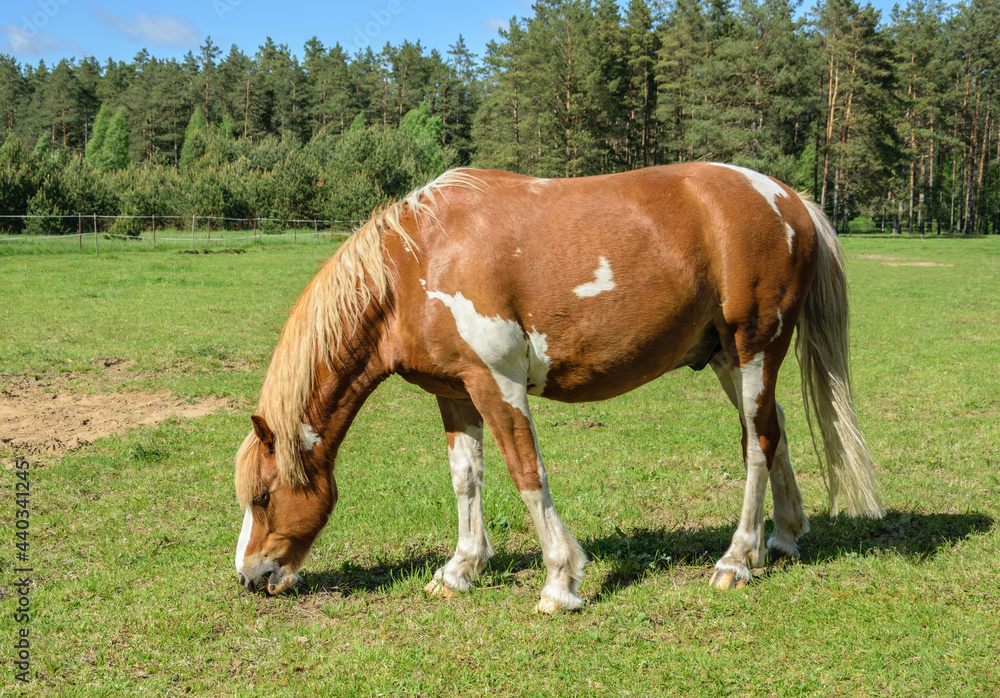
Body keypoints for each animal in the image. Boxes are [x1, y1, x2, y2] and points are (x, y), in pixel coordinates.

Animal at [232, 163, 884, 608]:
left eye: (262, 497)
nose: (251, 576)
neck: (417, 264)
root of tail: (789, 199)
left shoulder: (498, 385)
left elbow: (526, 474)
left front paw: (560, 580)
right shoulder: (455, 392)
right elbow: (466, 478)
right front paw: (460, 569)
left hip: (753, 350)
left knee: (755, 446)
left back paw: (737, 559)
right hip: (729, 358)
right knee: (773, 432)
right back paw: (785, 538)